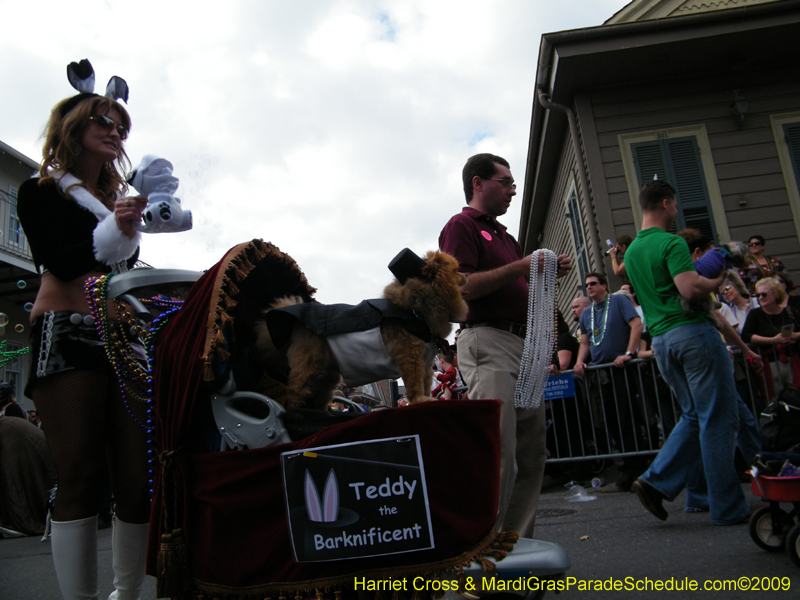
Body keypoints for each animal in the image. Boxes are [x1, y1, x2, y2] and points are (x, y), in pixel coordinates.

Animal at [253, 247, 468, 408]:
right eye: (456, 270)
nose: (466, 274)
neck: (415, 308)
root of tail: (295, 321)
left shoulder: (426, 362)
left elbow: (424, 383)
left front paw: (425, 398)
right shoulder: (410, 356)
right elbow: (414, 384)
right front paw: (420, 400)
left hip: (327, 372)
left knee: (320, 394)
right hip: (310, 366)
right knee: (296, 391)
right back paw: (297, 414)